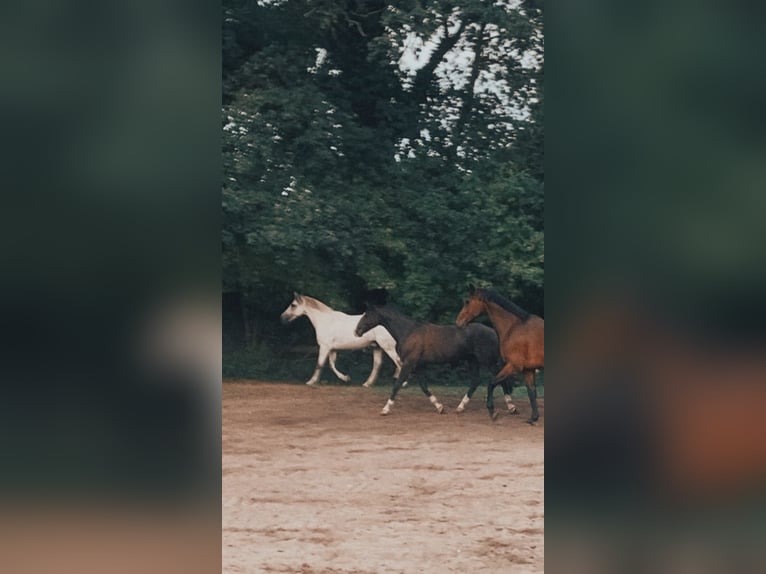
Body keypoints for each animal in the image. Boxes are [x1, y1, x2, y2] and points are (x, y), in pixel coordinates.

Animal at [356, 306, 512, 418]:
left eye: (367, 315)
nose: (356, 331)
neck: (408, 332)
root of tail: (493, 332)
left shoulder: (409, 363)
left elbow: (397, 385)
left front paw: (385, 409)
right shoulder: (419, 365)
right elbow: (424, 387)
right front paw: (440, 407)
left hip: (488, 361)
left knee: (499, 379)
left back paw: (511, 407)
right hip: (472, 360)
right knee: (476, 381)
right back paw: (460, 408)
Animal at [456, 286, 544, 424]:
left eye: (467, 301)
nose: (458, 322)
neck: (514, 327)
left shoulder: (513, 365)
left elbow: (491, 382)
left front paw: (492, 412)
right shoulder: (528, 369)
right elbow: (531, 392)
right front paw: (533, 418)